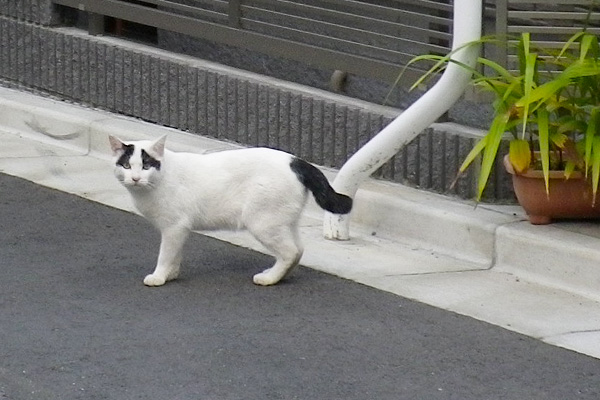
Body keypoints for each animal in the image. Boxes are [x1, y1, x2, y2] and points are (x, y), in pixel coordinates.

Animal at [109, 136, 352, 286]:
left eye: (146, 166)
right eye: (127, 166)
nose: (135, 178)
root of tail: (297, 160)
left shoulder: (174, 228)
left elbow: (165, 254)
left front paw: (159, 276)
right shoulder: (178, 230)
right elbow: (175, 255)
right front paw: (171, 275)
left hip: (263, 223)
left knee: (290, 251)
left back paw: (269, 279)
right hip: (283, 222)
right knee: (299, 250)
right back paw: (277, 275)